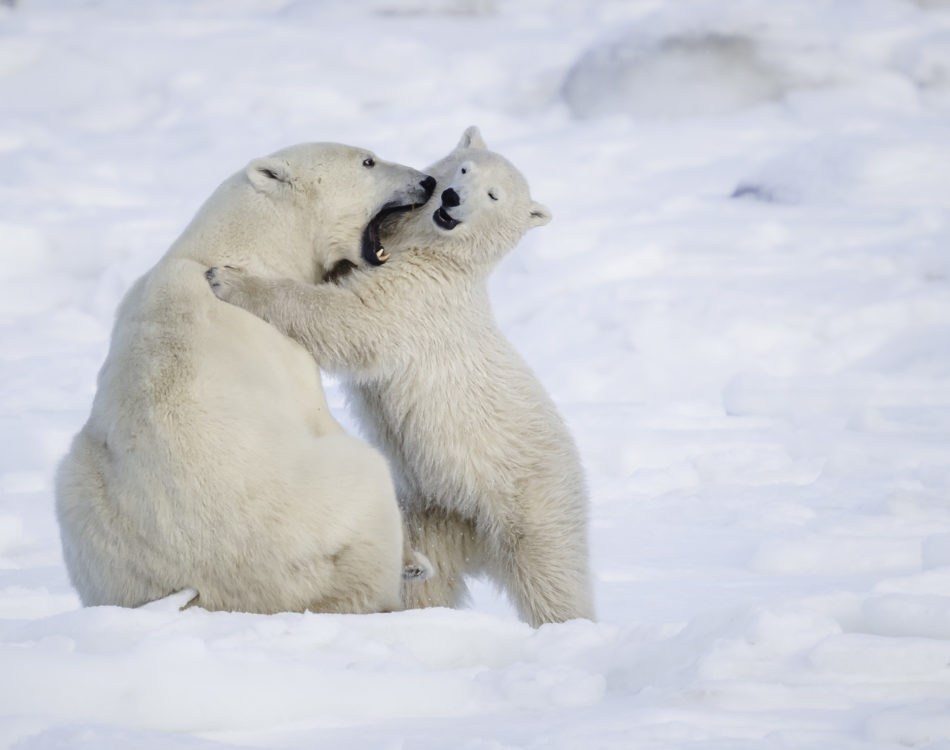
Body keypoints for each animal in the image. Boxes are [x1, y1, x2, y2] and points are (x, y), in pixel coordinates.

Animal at [55, 142, 436, 616]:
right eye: (368, 161)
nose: (427, 181)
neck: (237, 244)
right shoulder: (284, 347)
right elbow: (317, 412)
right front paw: (415, 559)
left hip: (89, 513)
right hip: (319, 515)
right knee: (367, 479)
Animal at [208, 129, 596, 628]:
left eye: (494, 195)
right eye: (464, 169)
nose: (451, 197)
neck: (438, 253)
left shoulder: (419, 296)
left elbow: (349, 319)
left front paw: (229, 278)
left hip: (530, 498)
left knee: (553, 576)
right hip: (437, 507)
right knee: (431, 573)